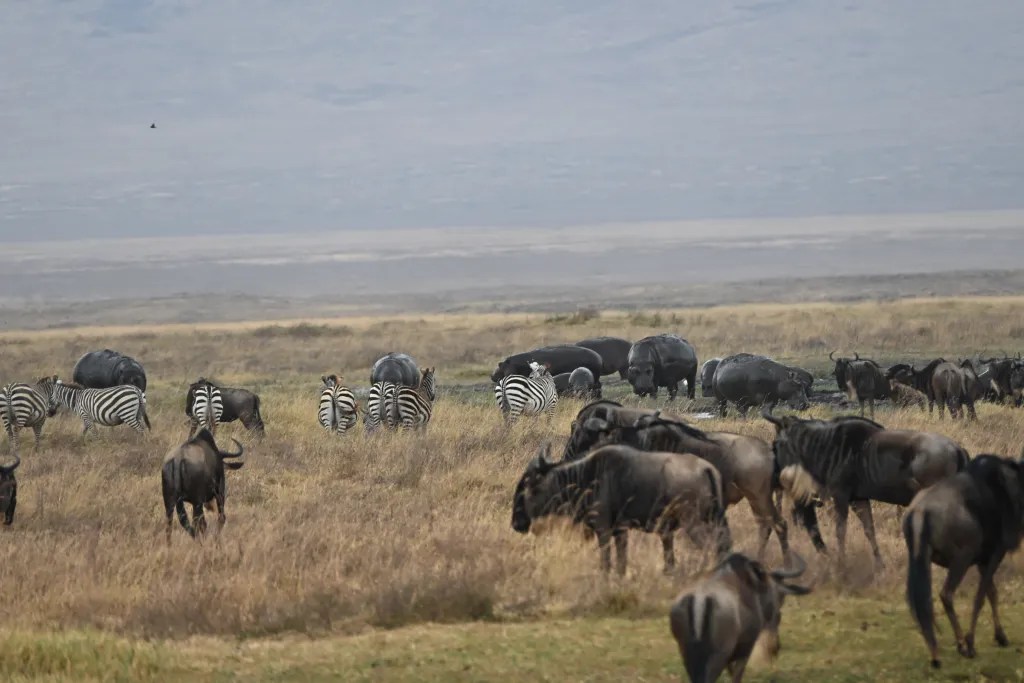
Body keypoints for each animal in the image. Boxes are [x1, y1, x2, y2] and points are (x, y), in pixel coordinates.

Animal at [512, 443, 731, 575]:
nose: (516, 523)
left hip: (693, 523)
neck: (586, 477)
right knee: (722, 546)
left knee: (710, 547)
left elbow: (606, 562)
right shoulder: (620, 531)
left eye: (527, 486)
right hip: (715, 521)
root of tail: (707, 469)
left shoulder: (603, 530)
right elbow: (621, 563)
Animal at [670, 553, 811, 683]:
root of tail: (699, 600)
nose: (777, 615)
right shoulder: (746, 648)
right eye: (776, 592)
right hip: (718, 655)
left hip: (687, 653)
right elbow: (737, 676)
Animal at [904, 454, 1024, 667]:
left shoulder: (983, 561)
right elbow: (980, 597)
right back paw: (961, 645)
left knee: (920, 602)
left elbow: (992, 593)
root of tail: (919, 512)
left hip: (918, 558)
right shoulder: (995, 554)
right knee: (946, 594)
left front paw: (1001, 636)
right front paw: (971, 641)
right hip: (962, 558)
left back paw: (935, 651)